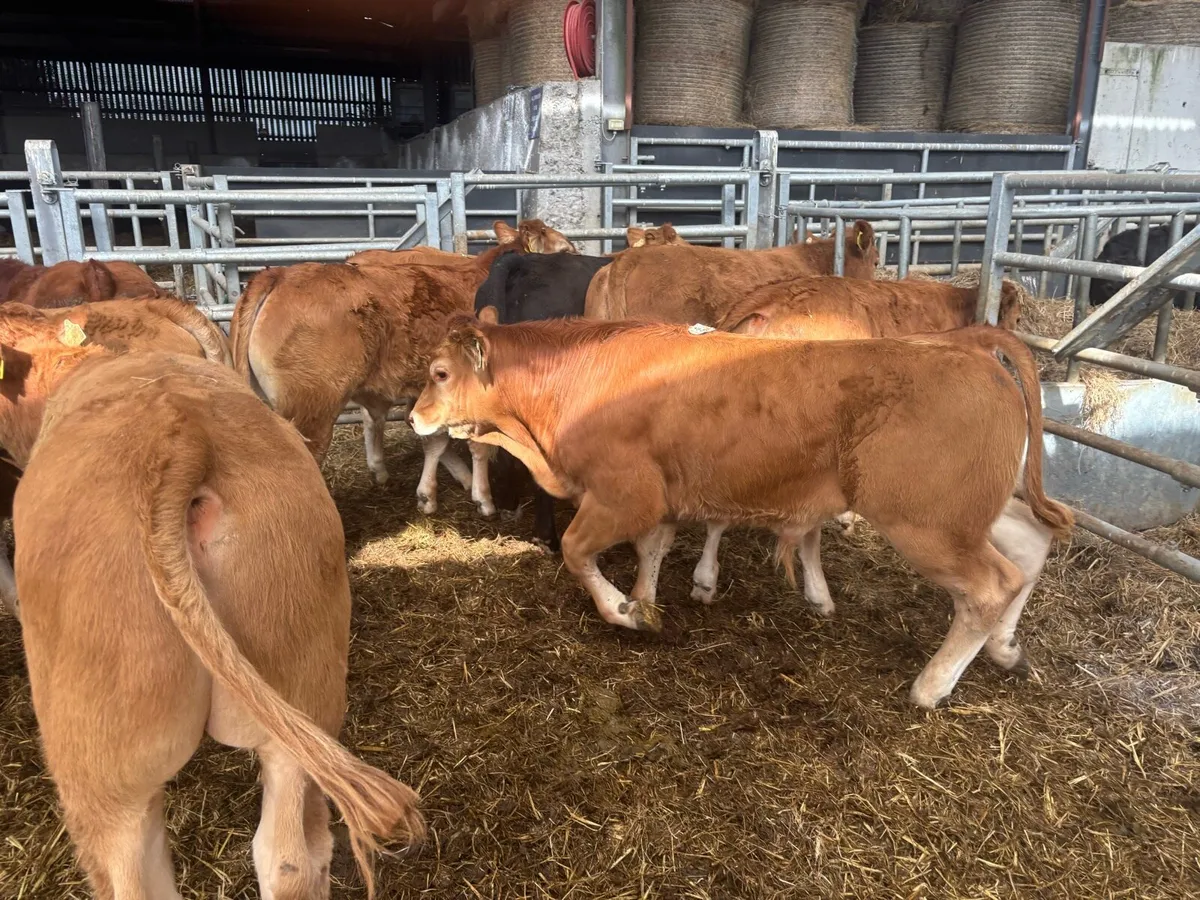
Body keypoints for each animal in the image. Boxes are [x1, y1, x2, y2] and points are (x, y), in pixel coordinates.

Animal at [410, 316, 1073, 708]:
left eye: (439, 372)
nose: (415, 417)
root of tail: (974, 344)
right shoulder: (663, 495)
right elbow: (652, 550)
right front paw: (646, 601)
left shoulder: (625, 493)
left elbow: (576, 552)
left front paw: (622, 611)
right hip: (972, 510)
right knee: (1032, 545)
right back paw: (1006, 648)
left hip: (924, 521)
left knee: (990, 585)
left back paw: (931, 686)